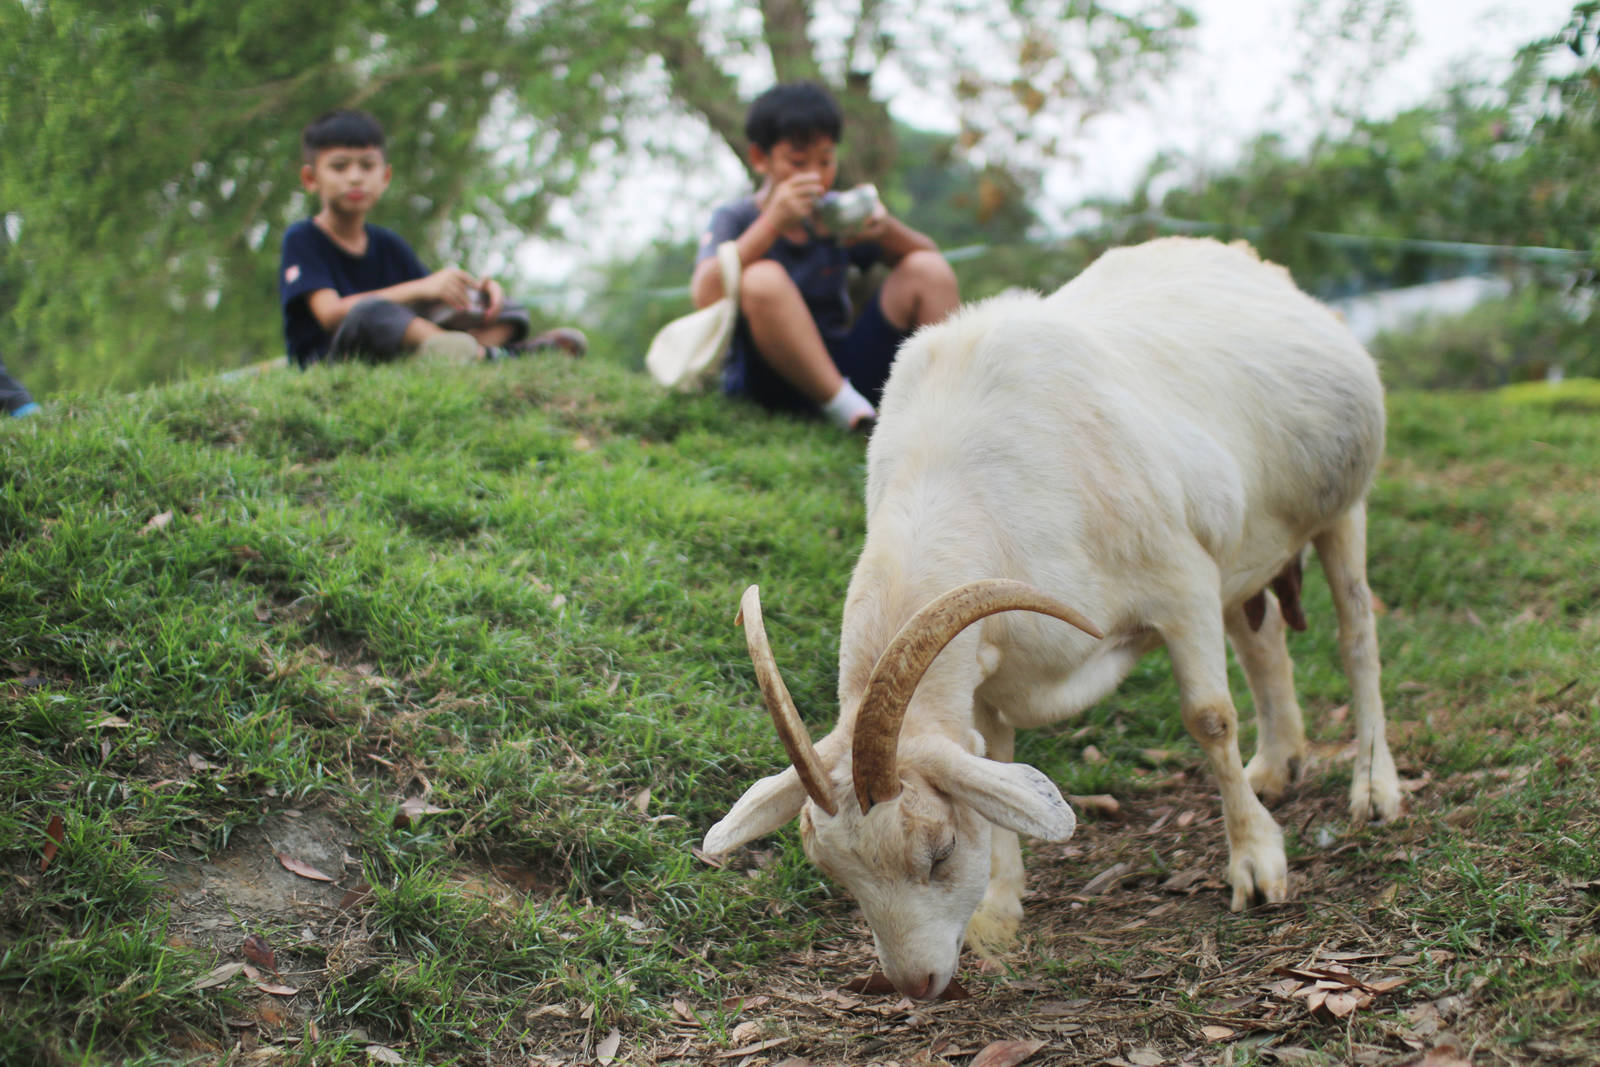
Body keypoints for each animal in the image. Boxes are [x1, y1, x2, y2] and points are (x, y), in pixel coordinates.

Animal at [707, 238, 1395, 1004]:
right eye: (836, 873)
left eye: (938, 850)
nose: (916, 982)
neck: (968, 476)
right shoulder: (988, 660)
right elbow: (994, 754)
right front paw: (999, 911)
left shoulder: (1180, 581)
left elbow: (1210, 718)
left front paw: (1255, 862)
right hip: (1247, 549)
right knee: (1264, 635)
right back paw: (1277, 762)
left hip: (1341, 505)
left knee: (1357, 631)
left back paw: (1374, 786)